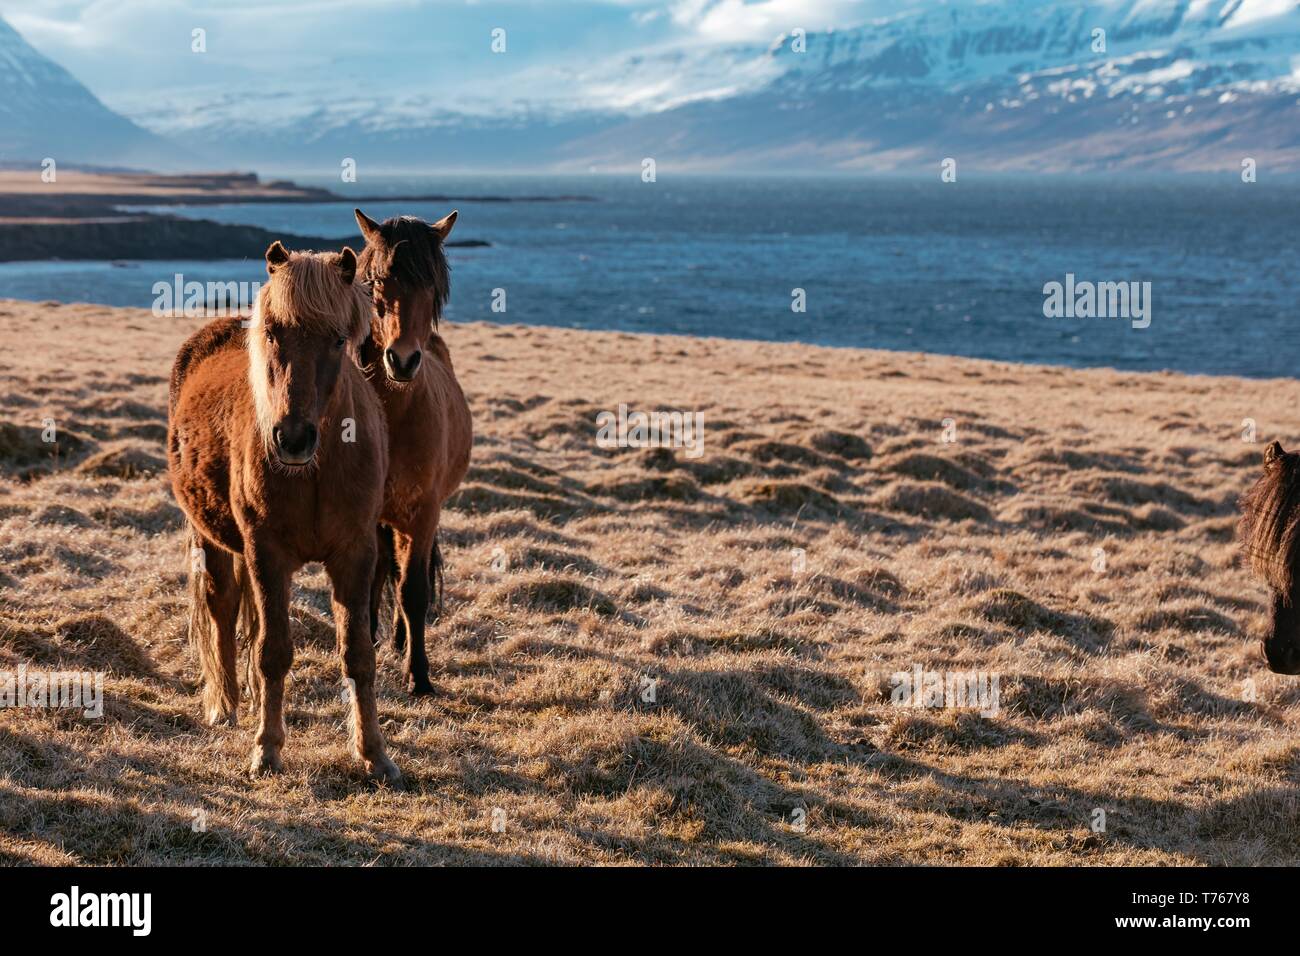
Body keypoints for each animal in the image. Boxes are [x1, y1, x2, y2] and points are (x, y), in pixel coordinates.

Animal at [169, 243, 400, 780]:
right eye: (272, 332)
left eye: (338, 339)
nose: (292, 438)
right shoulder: (266, 553)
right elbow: (272, 652)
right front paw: (267, 750)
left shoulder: (355, 554)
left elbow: (358, 654)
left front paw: (374, 754)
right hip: (211, 538)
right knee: (222, 605)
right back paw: (227, 706)